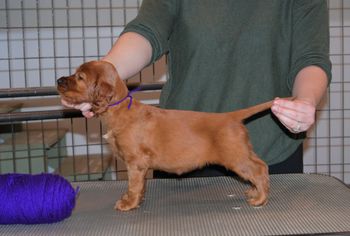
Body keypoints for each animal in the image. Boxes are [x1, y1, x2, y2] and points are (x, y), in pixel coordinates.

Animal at [56, 60, 270, 211]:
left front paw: (128, 204)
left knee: (258, 169)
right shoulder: (140, 165)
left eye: (80, 77)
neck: (119, 110)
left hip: (235, 156)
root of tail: (231, 116)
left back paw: (260, 198)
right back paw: (255, 191)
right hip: (242, 151)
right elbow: (140, 184)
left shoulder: (135, 161)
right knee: (261, 165)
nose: (58, 80)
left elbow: (133, 184)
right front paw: (136, 200)